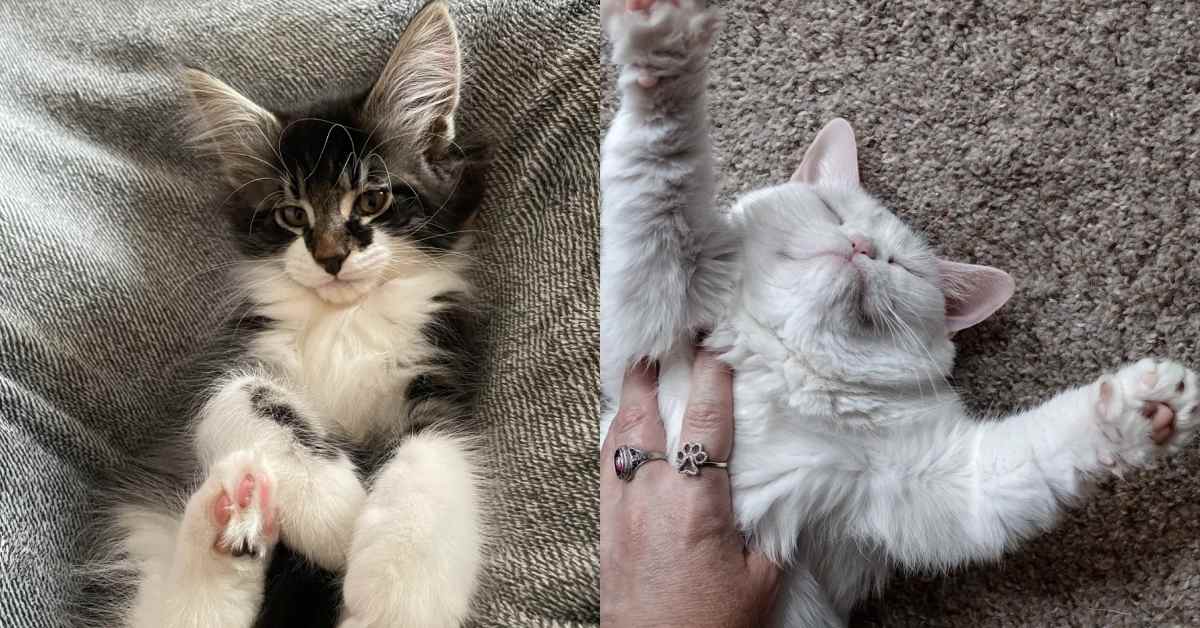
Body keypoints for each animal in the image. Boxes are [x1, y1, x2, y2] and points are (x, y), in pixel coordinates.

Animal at [94, 2, 487, 624]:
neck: (344, 321)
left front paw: (395, 598)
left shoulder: (440, 375)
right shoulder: (226, 360)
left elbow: (436, 458)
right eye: (291, 215)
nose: (329, 256)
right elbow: (248, 394)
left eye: (373, 200)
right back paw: (230, 510)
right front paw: (335, 512)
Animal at [600, 2, 1200, 624]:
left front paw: (1142, 409)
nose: (862, 246)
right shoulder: (658, 287)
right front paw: (663, 47)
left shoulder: (933, 486)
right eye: (832, 210)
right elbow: (660, 167)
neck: (787, 368)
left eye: (901, 265)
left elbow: (1038, 452)